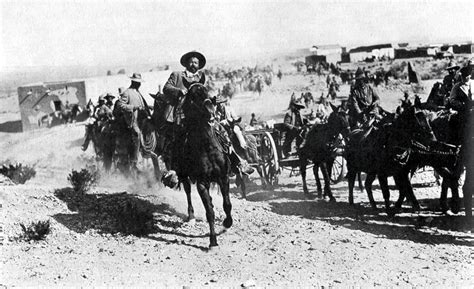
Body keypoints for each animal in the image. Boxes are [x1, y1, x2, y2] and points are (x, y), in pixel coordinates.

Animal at [177, 82, 232, 248]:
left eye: (207, 91)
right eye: (193, 96)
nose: (210, 109)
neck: (207, 147)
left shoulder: (223, 177)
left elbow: (227, 204)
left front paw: (227, 222)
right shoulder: (202, 183)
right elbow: (209, 212)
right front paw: (212, 240)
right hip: (184, 176)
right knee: (188, 191)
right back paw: (191, 216)